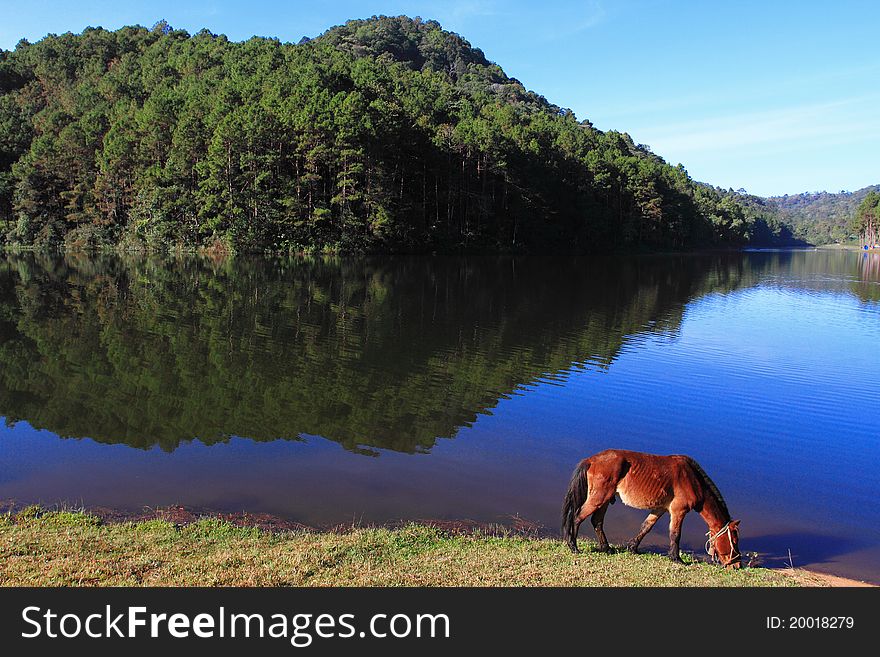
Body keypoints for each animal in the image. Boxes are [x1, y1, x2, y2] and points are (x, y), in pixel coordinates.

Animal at [560, 448, 740, 568]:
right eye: (734, 541)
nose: (737, 565)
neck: (693, 479)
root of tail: (591, 460)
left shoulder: (660, 509)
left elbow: (646, 527)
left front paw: (633, 548)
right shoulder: (678, 511)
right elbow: (675, 534)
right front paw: (677, 558)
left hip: (604, 500)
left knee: (596, 521)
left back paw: (606, 548)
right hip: (599, 499)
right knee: (577, 517)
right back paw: (573, 546)